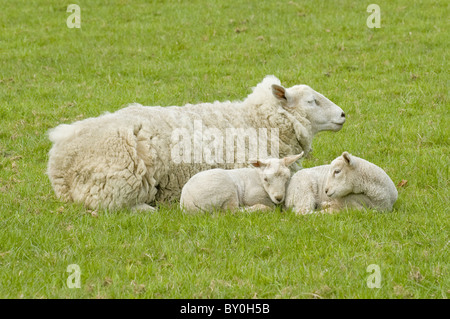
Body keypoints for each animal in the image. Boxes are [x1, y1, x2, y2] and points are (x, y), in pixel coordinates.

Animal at [47, 75, 346, 212]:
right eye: (312, 101)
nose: (343, 114)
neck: (256, 120)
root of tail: (60, 163)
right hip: (116, 184)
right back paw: (149, 209)